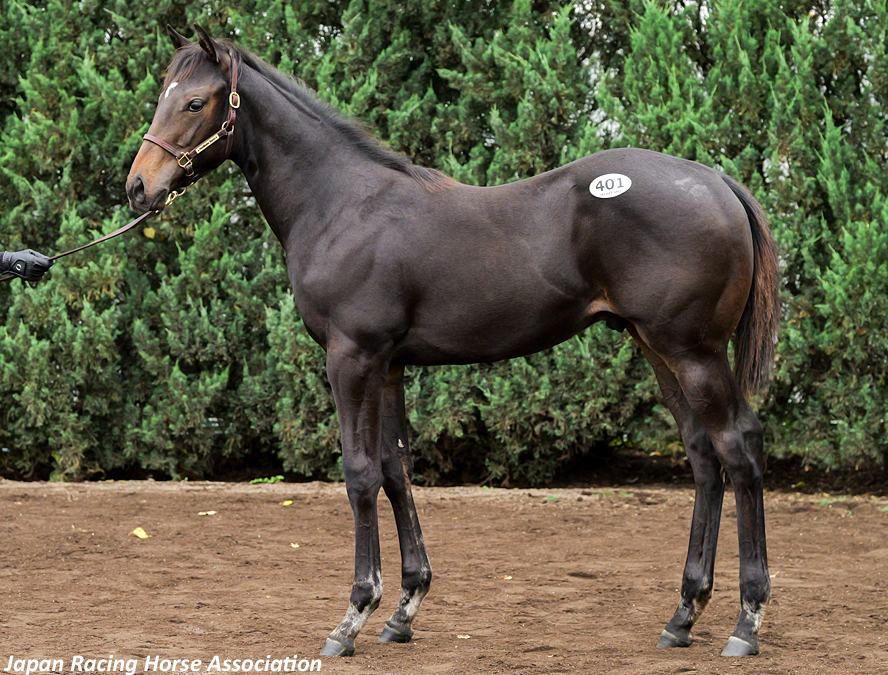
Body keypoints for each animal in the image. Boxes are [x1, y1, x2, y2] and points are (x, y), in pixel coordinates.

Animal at [126, 24, 780, 659]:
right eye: (161, 96)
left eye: (195, 102)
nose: (138, 188)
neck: (341, 205)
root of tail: (716, 180)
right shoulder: (388, 365)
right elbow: (395, 470)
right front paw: (403, 611)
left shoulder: (352, 358)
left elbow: (360, 473)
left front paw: (353, 616)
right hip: (657, 348)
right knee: (703, 457)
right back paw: (682, 616)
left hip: (693, 352)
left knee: (739, 449)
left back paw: (746, 622)